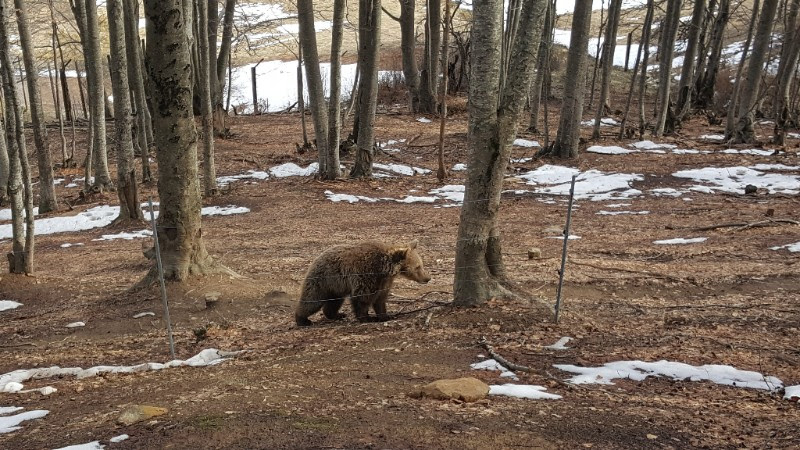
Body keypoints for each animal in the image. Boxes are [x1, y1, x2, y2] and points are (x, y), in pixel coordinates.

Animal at [296, 241, 432, 326]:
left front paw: (385, 316)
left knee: (334, 302)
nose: (428, 278)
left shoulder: (384, 282)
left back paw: (337, 314)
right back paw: (302, 320)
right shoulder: (366, 274)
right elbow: (362, 298)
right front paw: (367, 318)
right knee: (313, 300)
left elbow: (380, 300)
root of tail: (315, 259)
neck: (384, 269)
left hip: (335, 287)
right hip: (323, 280)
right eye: (418, 267)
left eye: (421, 265)